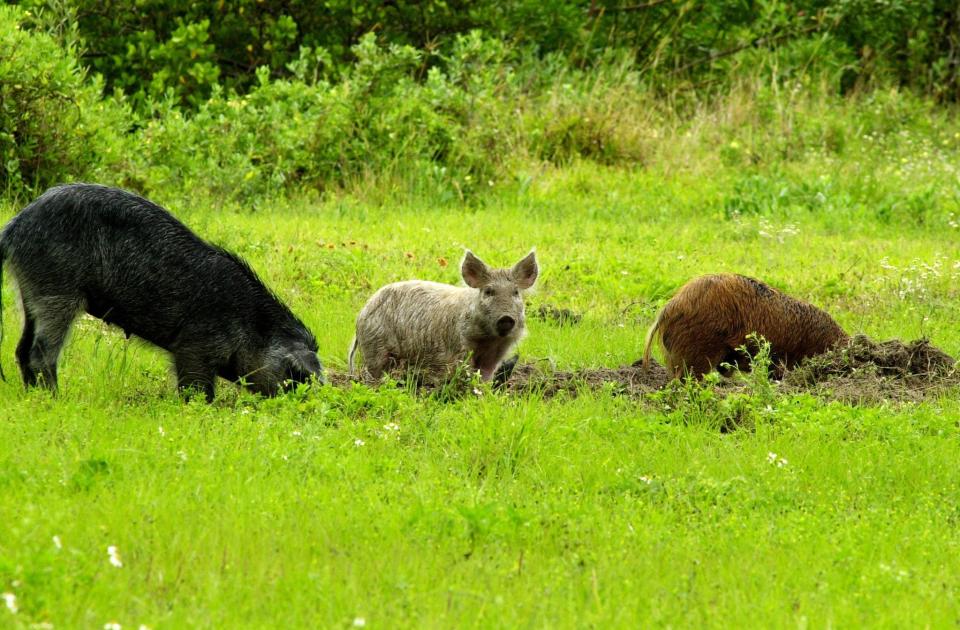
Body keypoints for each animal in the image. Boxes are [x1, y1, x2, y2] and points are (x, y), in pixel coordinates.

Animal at [0, 183, 322, 400]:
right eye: (294, 376)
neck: (252, 325)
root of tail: (13, 228)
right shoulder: (195, 345)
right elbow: (195, 386)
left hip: (28, 291)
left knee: (21, 348)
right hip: (56, 290)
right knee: (41, 351)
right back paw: (56, 399)